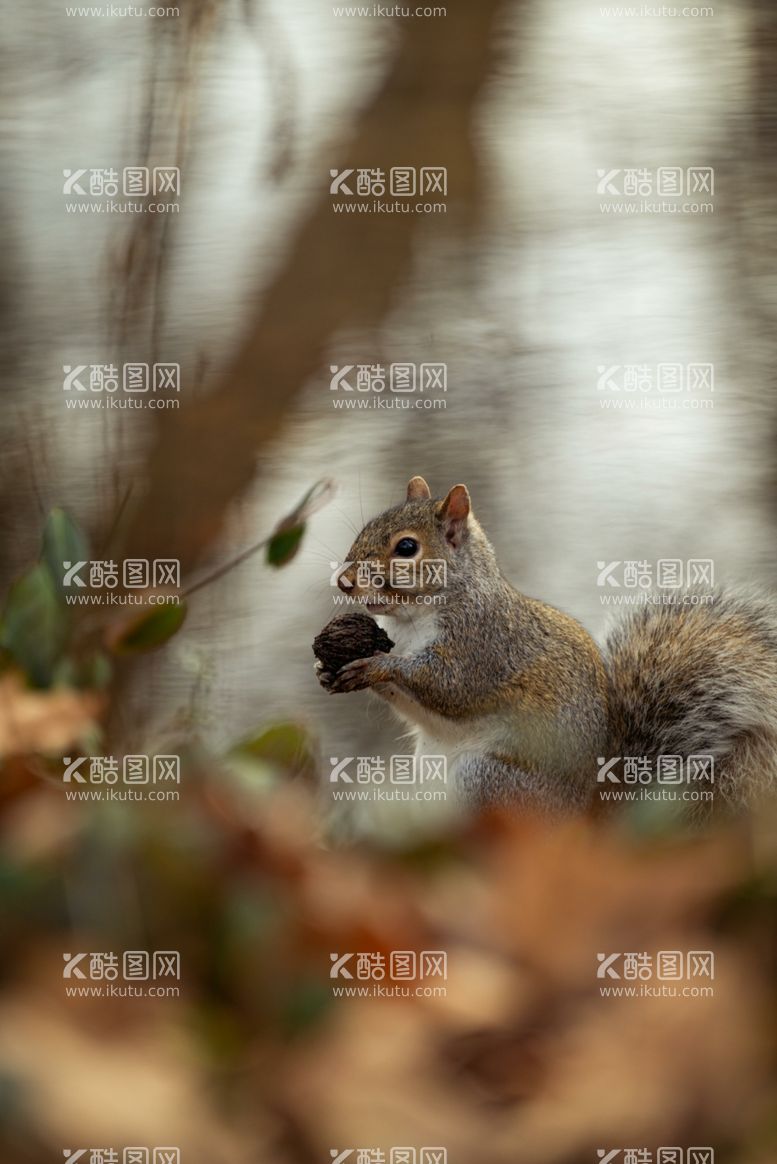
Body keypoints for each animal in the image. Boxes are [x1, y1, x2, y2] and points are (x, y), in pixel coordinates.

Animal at [314, 477, 777, 814]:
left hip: (487, 779)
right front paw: (330, 669)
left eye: (407, 547)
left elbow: (450, 686)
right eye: (365, 528)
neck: (414, 618)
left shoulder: (484, 644)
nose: (344, 581)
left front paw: (378, 666)